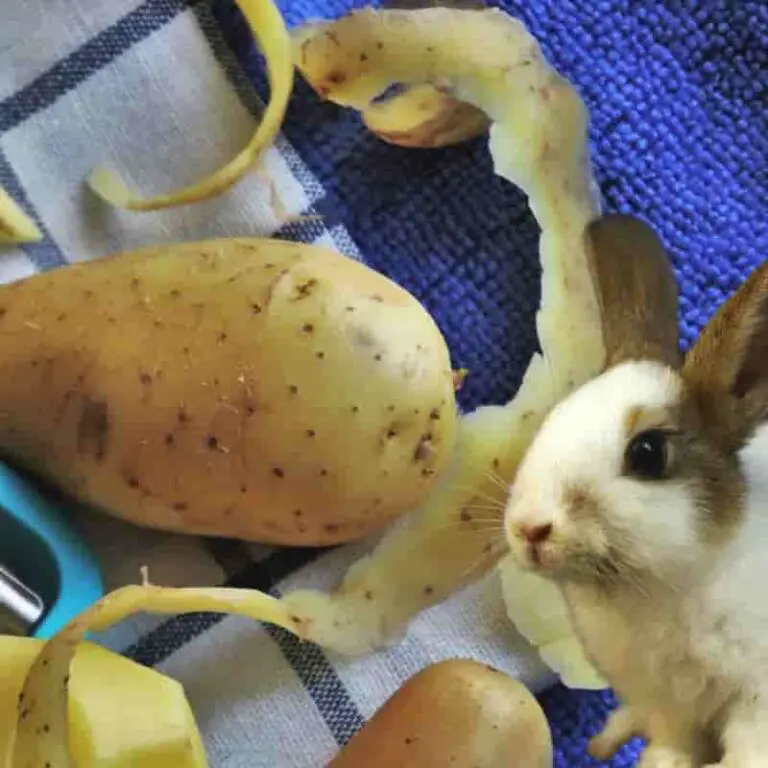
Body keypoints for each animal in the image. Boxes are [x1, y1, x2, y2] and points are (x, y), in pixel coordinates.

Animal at [503, 212, 768, 768]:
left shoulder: (757, 702)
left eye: (647, 453)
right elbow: (670, 745)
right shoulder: (669, 709)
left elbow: (747, 751)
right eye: (551, 416)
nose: (529, 528)